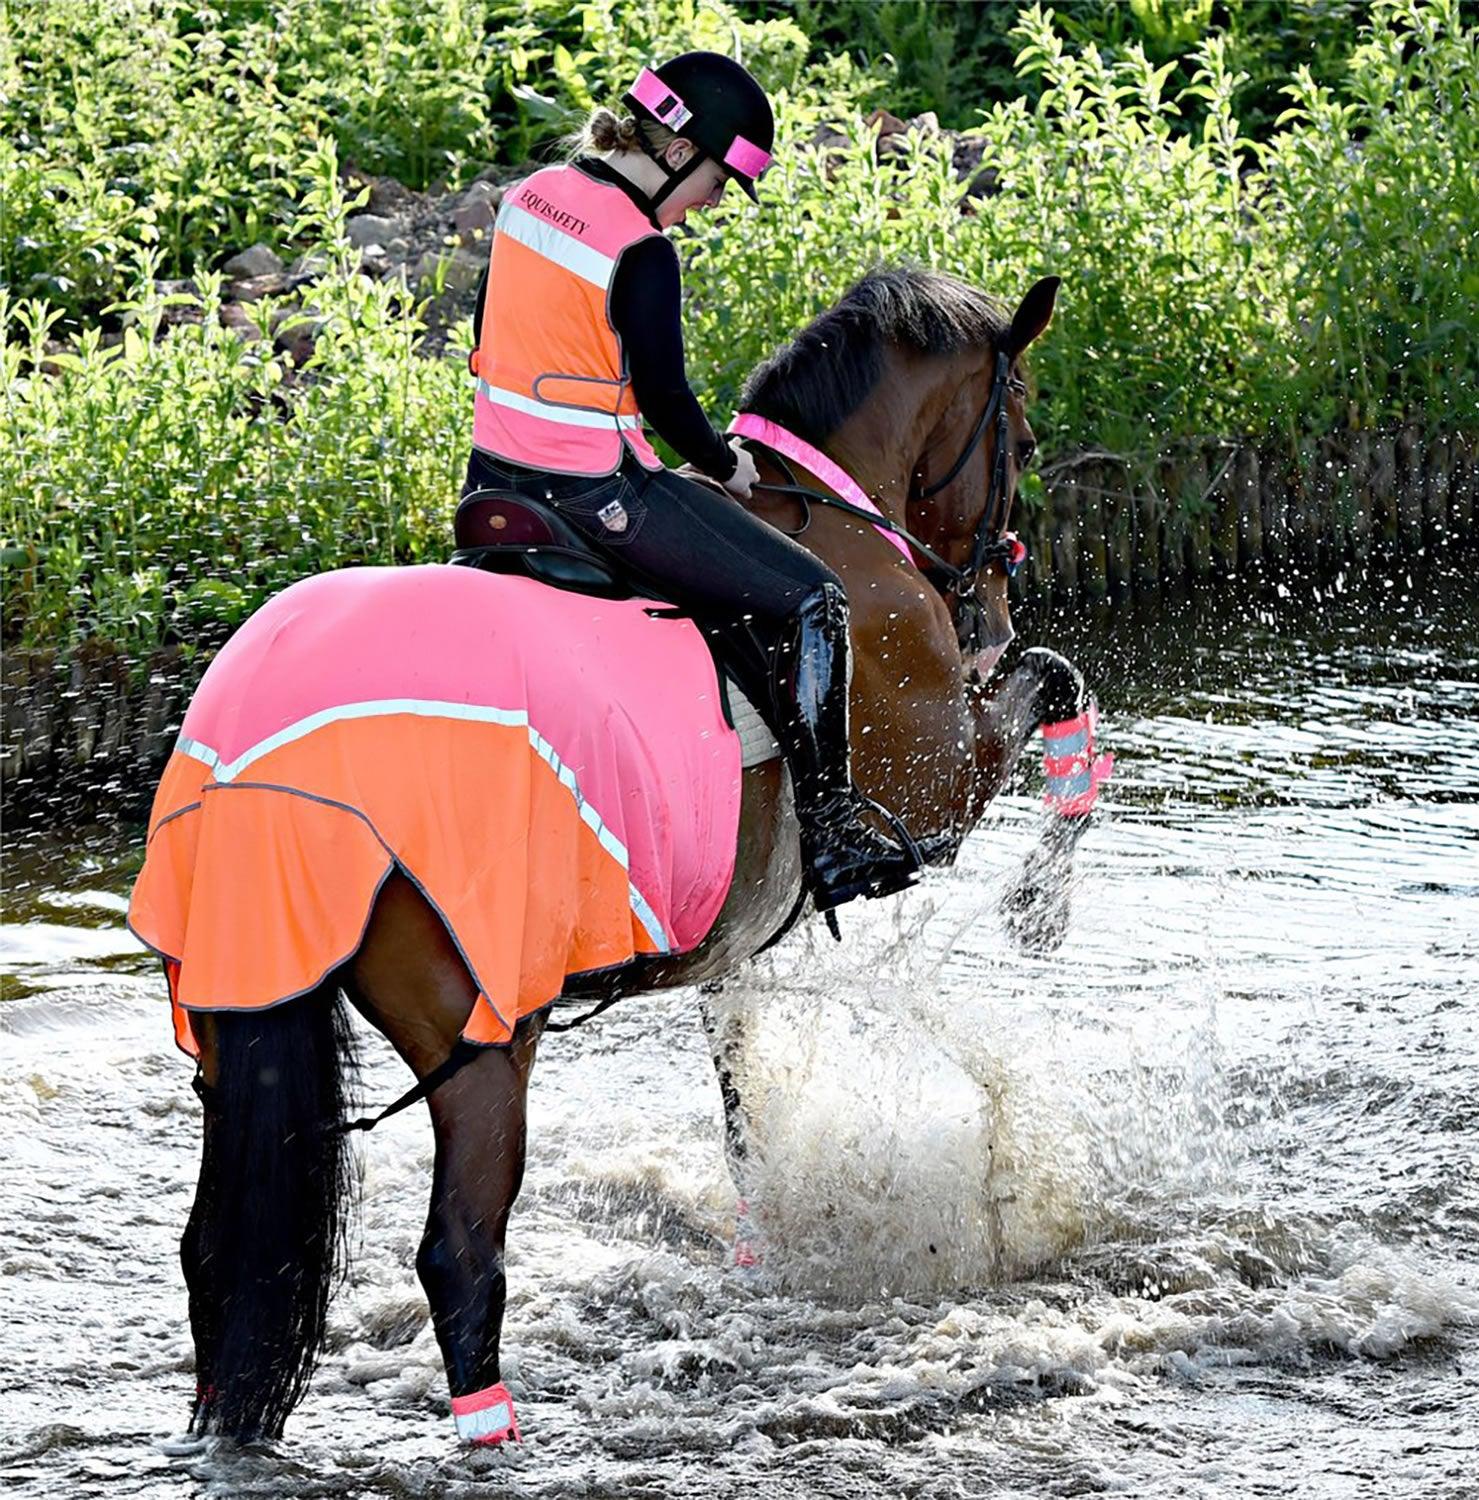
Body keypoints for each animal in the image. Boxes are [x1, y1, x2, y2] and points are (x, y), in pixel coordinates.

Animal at [173, 267, 1098, 1440]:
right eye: (1020, 432)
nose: (989, 606)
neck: (839, 515)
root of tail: (262, 775)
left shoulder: (739, 932)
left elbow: (742, 1100)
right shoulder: (937, 780)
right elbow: (1058, 681)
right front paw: (1040, 902)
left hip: (236, 1012)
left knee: (221, 1255)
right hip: (483, 1037)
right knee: (461, 1256)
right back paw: (494, 1435)